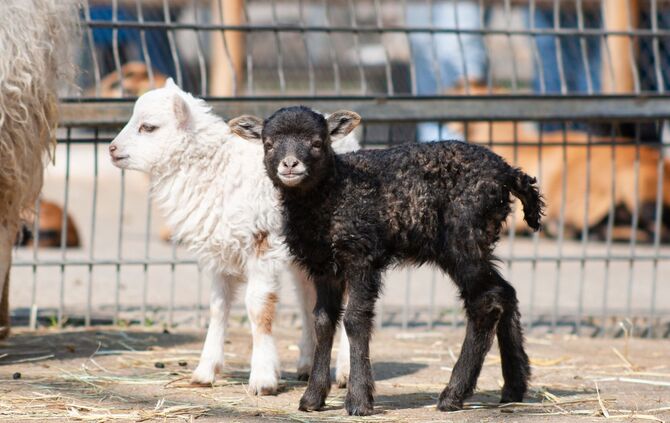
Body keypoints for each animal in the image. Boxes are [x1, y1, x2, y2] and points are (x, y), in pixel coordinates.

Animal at [236, 106, 544, 415]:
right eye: (268, 144)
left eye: (317, 142)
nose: (290, 164)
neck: (334, 192)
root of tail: (507, 172)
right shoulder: (325, 266)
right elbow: (322, 321)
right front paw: (312, 398)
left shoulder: (360, 255)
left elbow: (354, 320)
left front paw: (359, 400)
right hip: (474, 244)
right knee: (505, 292)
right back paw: (514, 387)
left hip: (463, 239)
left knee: (486, 302)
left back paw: (453, 394)